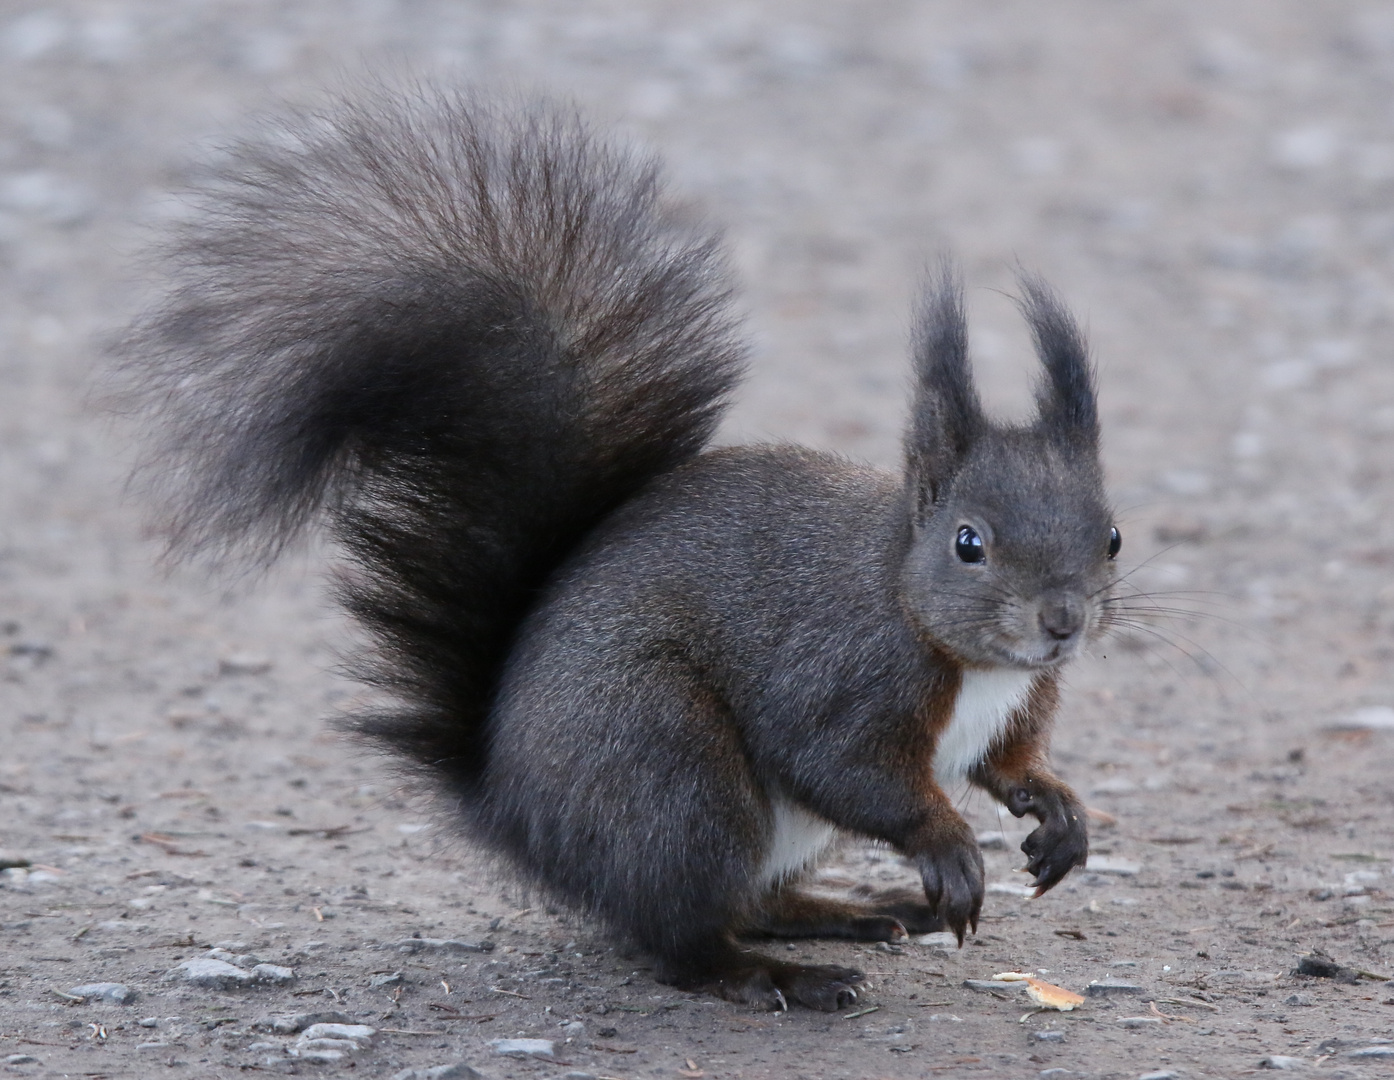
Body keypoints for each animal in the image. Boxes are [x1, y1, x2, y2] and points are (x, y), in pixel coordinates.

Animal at [117, 84, 1120, 1014]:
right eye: (968, 543)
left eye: (1111, 534)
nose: (1063, 622)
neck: (946, 638)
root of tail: (512, 812)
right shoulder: (839, 674)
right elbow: (845, 767)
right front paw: (949, 846)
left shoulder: (1016, 704)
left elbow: (1007, 764)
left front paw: (1058, 811)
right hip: (671, 772)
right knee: (684, 939)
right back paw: (782, 975)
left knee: (747, 902)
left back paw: (850, 910)